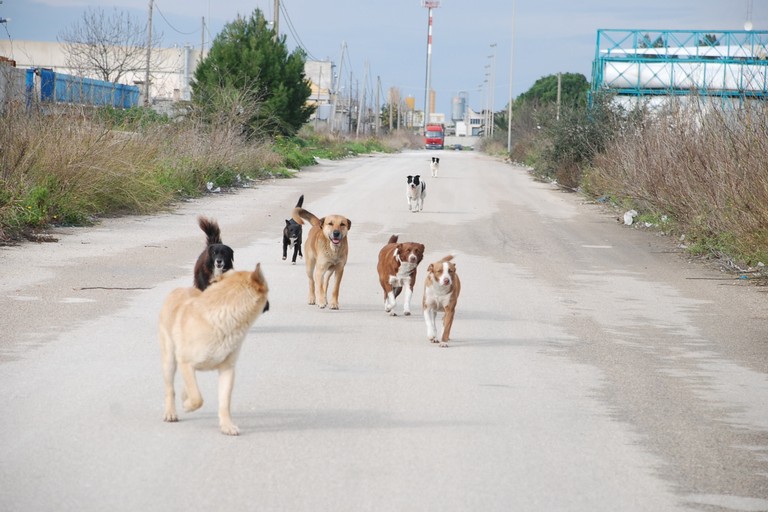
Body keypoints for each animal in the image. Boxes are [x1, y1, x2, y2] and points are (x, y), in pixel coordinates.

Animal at [158, 262, 272, 434]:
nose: (269, 305)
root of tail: (178, 289)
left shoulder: (227, 370)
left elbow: (224, 402)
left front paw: (226, 425)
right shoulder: (185, 363)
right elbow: (197, 398)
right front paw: (188, 406)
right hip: (169, 362)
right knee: (170, 389)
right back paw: (171, 412)